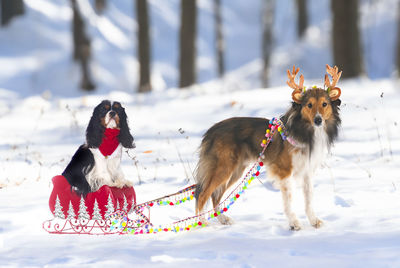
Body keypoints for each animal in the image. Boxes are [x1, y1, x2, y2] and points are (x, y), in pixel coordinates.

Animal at [194, 65, 340, 230]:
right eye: (309, 105)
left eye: (324, 104)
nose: (318, 120)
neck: (305, 131)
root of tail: (211, 131)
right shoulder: (284, 171)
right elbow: (289, 199)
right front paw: (294, 223)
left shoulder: (307, 171)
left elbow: (309, 199)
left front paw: (314, 221)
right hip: (223, 167)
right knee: (202, 194)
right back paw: (202, 222)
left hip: (235, 171)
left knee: (215, 196)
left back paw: (224, 219)